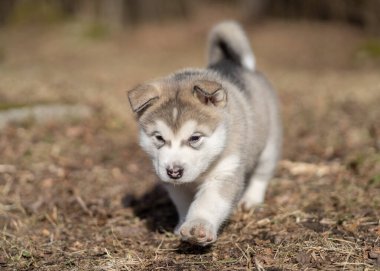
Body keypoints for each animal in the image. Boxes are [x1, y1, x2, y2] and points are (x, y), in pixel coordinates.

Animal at [127, 21, 282, 246]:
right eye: (159, 138)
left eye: (195, 138)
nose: (174, 172)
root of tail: (234, 63)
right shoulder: (175, 186)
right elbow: (183, 203)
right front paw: (182, 224)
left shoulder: (225, 172)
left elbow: (208, 202)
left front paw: (197, 226)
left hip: (269, 144)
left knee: (262, 174)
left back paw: (251, 200)